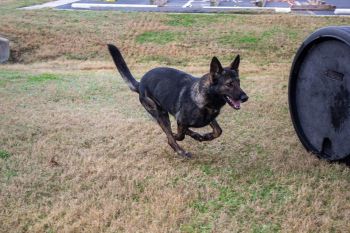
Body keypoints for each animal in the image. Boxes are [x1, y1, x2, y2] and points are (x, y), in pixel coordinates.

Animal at [108, 44, 247, 157]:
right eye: (229, 84)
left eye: (238, 82)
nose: (245, 98)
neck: (205, 95)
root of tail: (140, 84)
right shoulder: (181, 120)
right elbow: (180, 135)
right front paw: (181, 136)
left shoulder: (209, 118)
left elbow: (218, 131)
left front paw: (205, 136)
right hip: (161, 115)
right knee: (170, 137)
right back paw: (181, 151)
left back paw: (195, 135)